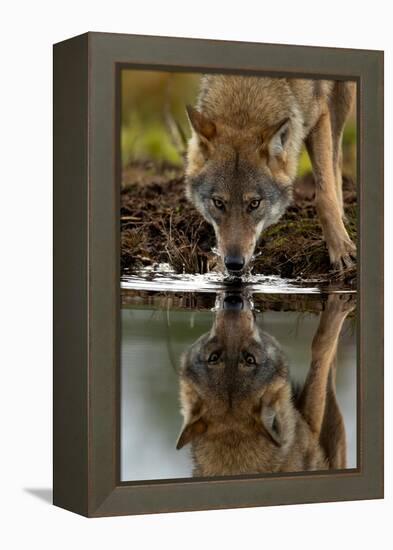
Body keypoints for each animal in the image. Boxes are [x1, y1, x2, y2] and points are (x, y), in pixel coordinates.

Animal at [176, 294, 350, 478]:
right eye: (214, 357)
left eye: (249, 359)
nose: (232, 301)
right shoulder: (311, 426)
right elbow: (321, 349)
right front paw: (339, 306)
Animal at [185, 76, 356, 274]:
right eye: (218, 203)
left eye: (254, 204)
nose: (233, 263)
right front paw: (219, 265)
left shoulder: (319, 113)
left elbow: (324, 198)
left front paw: (342, 249)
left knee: (336, 157)